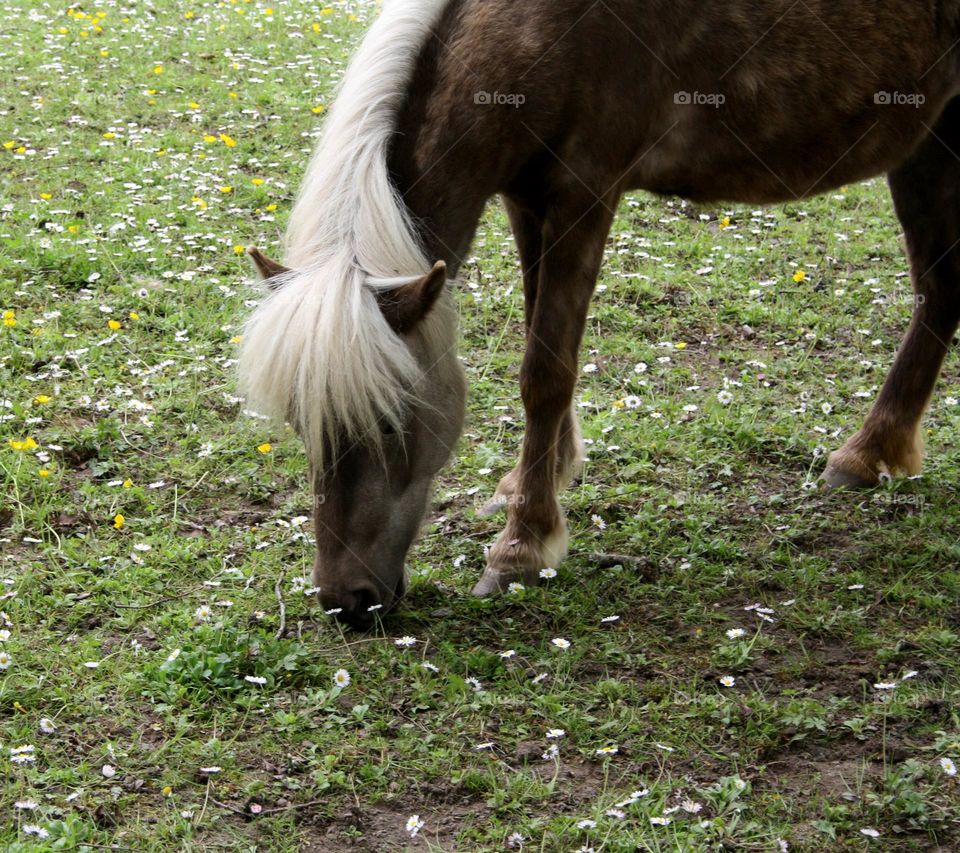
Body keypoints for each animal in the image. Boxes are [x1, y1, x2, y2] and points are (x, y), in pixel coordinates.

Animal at [239, 0, 960, 628]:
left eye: (391, 423)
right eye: (300, 421)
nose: (345, 601)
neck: (534, 27)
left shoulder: (584, 194)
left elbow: (545, 373)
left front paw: (523, 546)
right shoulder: (527, 197)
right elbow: (541, 342)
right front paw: (541, 480)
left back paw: (867, 451)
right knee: (940, 290)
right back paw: (874, 451)